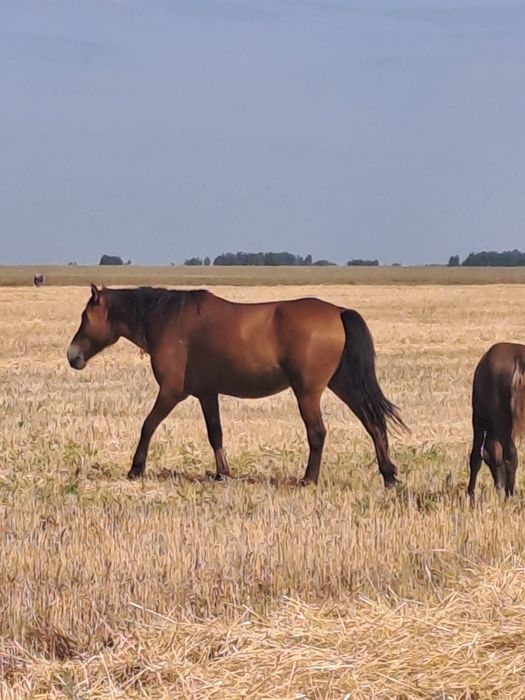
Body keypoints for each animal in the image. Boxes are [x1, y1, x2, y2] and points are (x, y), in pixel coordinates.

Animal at [67, 284, 407, 486]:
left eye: (85, 316)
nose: (72, 356)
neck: (168, 320)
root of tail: (338, 312)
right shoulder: (206, 394)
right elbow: (215, 433)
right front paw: (223, 473)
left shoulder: (171, 392)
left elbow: (148, 425)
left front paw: (136, 469)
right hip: (343, 384)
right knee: (373, 422)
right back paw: (388, 475)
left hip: (308, 392)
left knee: (318, 432)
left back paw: (309, 479)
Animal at [467, 342, 525, 499]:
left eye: (489, 460)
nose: (499, 485)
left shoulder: (478, 418)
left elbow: (475, 456)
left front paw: (470, 494)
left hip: (500, 419)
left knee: (510, 454)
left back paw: (509, 495)